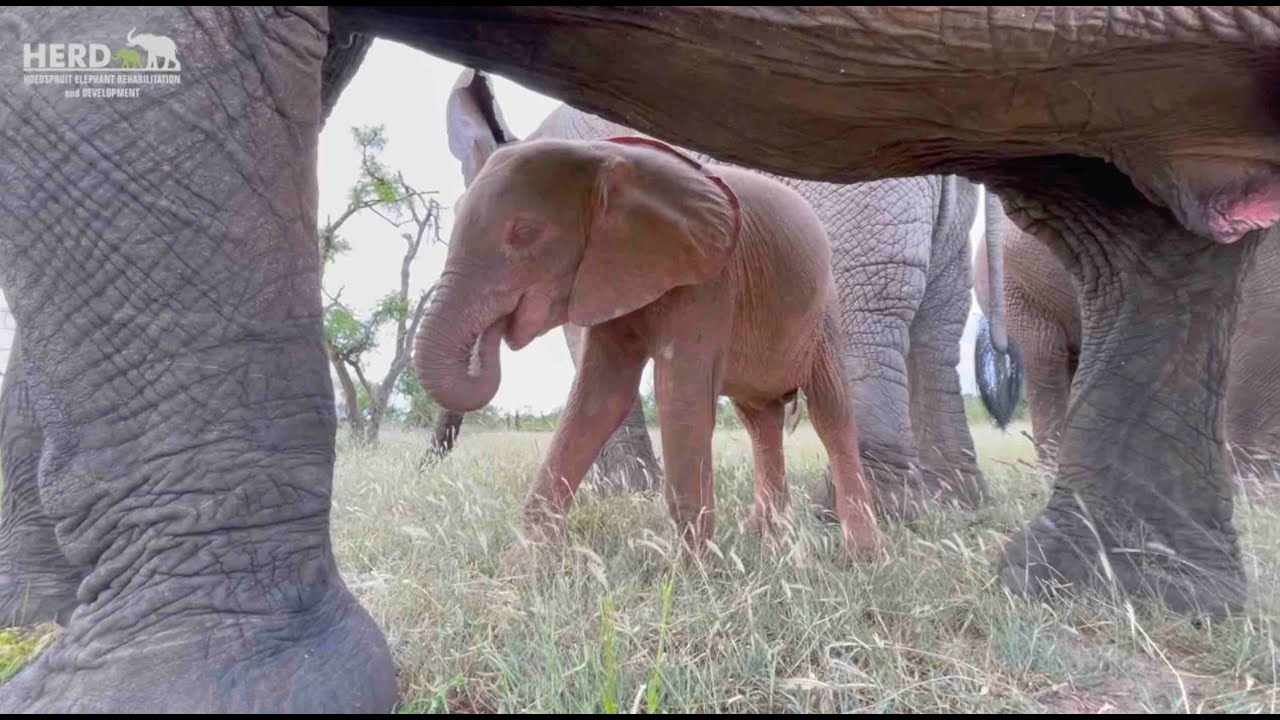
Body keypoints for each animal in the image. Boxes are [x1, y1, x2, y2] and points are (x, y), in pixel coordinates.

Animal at [414, 135, 880, 552]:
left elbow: (680, 397)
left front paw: (691, 577)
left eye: (525, 232)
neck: (604, 156)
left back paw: (863, 557)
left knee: (830, 411)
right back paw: (768, 540)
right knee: (759, 421)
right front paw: (522, 571)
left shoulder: (708, 280)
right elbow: (599, 399)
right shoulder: (609, 276)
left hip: (825, 312)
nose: (497, 329)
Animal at [446, 70, 996, 520]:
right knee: (937, 337)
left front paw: (624, 494)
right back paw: (956, 503)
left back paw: (854, 512)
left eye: (514, 235)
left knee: (869, 325)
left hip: (853, 202)